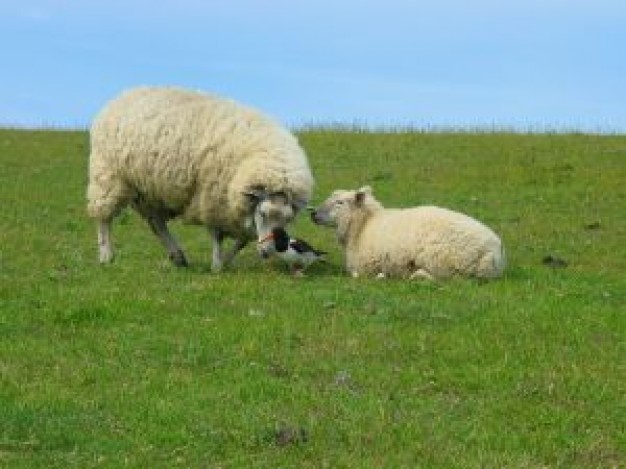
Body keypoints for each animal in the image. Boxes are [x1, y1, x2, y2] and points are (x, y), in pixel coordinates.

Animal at [84, 86, 312, 270]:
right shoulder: (214, 199)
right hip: (109, 176)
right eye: (263, 214)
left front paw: (227, 261)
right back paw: (106, 255)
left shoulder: (236, 206)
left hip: (150, 189)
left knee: (156, 223)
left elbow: (243, 239)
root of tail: (122, 96)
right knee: (103, 218)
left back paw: (178, 256)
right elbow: (219, 236)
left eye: (287, 219)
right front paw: (217, 265)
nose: (270, 251)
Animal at [310, 185, 504, 278]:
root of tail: (493, 251)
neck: (364, 226)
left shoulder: (363, 268)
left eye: (340, 202)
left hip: (441, 260)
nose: (313, 213)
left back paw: (416, 275)